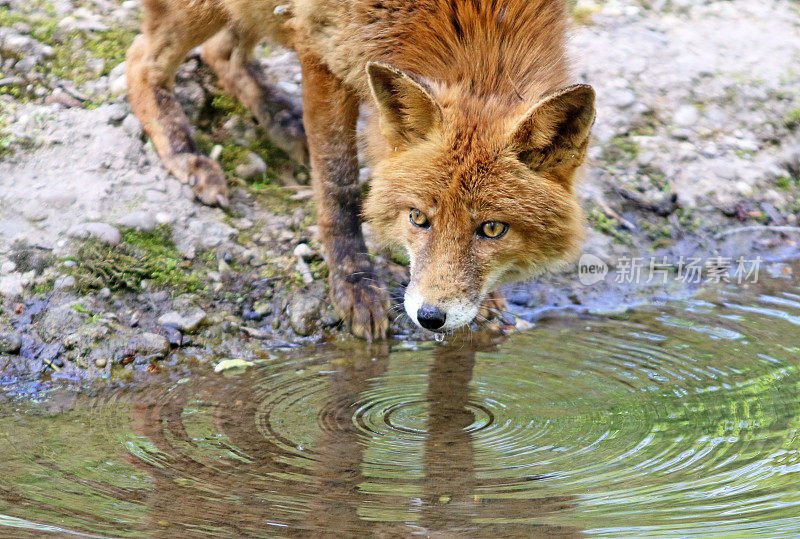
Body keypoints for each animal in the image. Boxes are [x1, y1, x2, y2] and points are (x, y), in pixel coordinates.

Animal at [126, 0, 592, 342]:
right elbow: (340, 185)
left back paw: (280, 118)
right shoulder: (321, 47)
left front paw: (488, 302)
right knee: (141, 61)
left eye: (493, 229)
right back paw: (186, 153)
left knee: (220, 51)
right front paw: (353, 284)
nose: (431, 317)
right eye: (417, 218)